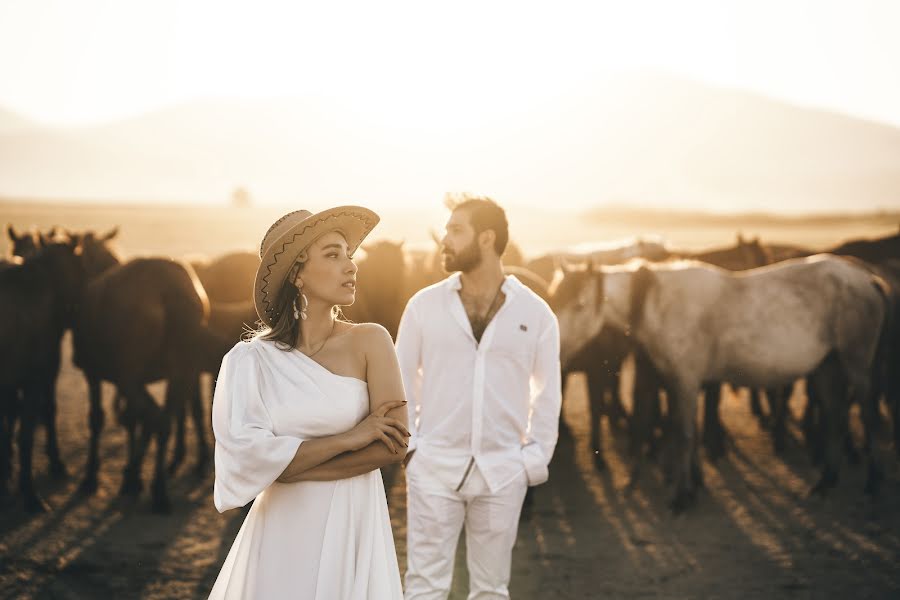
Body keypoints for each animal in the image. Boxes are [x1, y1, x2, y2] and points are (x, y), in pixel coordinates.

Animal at [552, 255, 888, 512]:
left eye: (580, 305)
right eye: (556, 300)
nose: (556, 350)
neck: (659, 304)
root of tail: (865, 278)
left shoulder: (686, 380)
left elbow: (684, 433)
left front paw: (681, 497)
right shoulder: (677, 382)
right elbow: (688, 430)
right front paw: (693, 486)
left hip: (856, 366)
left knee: (868, 417)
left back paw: (872, 485)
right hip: (827, 367)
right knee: (835, 417)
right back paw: (824, 484)